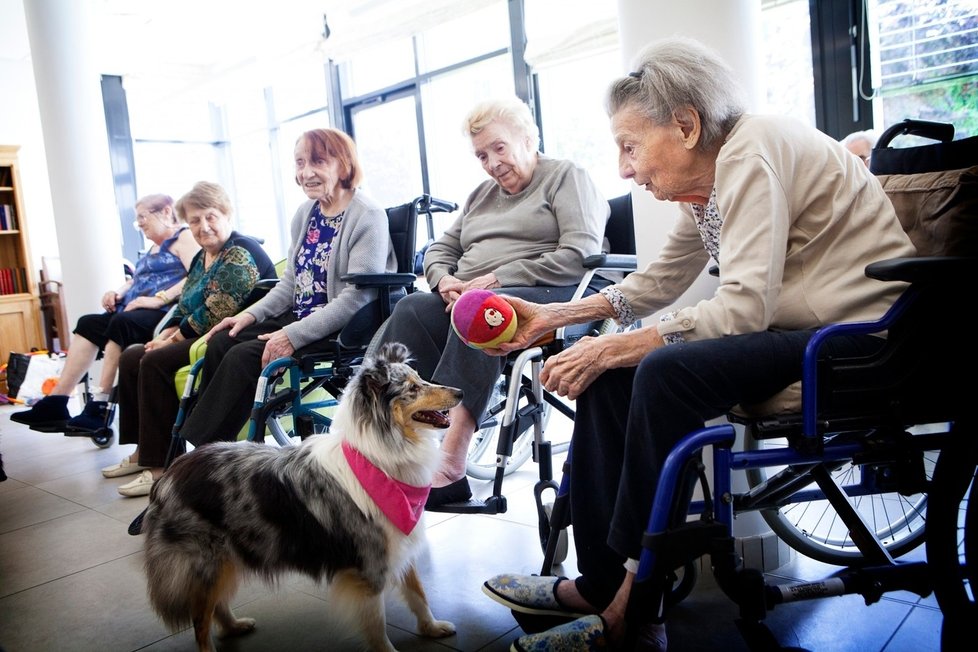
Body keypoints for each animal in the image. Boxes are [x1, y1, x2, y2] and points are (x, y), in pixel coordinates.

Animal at [141, 342, 466, 652]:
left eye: (420, 379)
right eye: (412, 389)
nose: (461, 392)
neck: (377, 457)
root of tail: (171, 473)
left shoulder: (399, 542)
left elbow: (418, 593)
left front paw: (432, 628)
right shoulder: (369, 563)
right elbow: (377, 624)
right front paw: (391, 648)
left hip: (225, 559)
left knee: (214, 605)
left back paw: (234, 626)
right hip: (204, 561)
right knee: (200, 619)